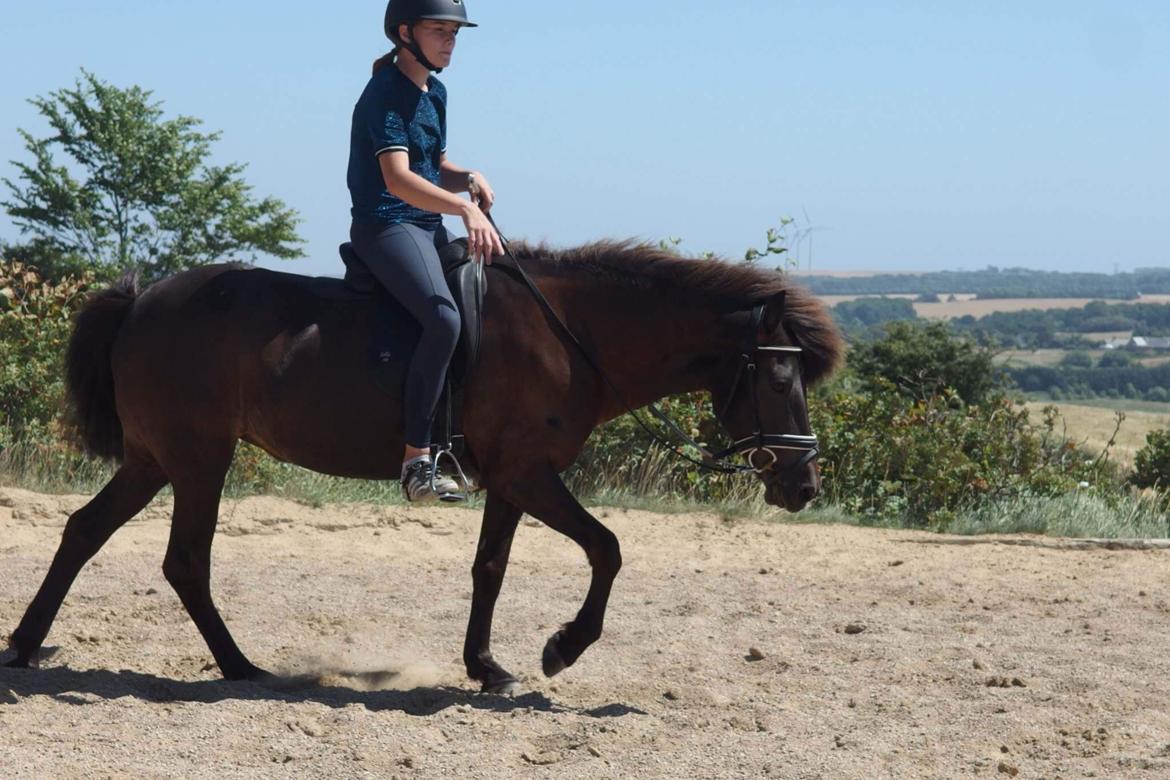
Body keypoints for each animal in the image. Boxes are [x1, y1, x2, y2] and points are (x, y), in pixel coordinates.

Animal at [0, 239, 842, 696]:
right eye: (778, 377)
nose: (802, 486)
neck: (569, 334)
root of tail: (142, 302)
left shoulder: (511, 478)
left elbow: (490, 568)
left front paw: (487, 666)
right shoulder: (531, 474)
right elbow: (607, 548)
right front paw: (561, 648)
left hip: (154, 460)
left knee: (84, 532)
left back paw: (25, 644)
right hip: (199, 460)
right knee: (184, 562)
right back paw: (239, 666)